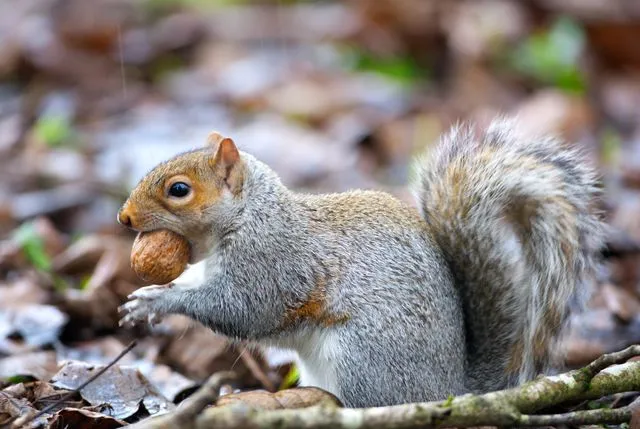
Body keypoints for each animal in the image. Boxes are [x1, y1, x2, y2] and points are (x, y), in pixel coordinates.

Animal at [117, 117, 605, 407]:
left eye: (179, 190)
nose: (124, 217)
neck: (249, 215)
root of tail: (449, 390)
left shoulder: (273, 261)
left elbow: (244, 310)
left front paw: (156, 301)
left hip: (363, 358)